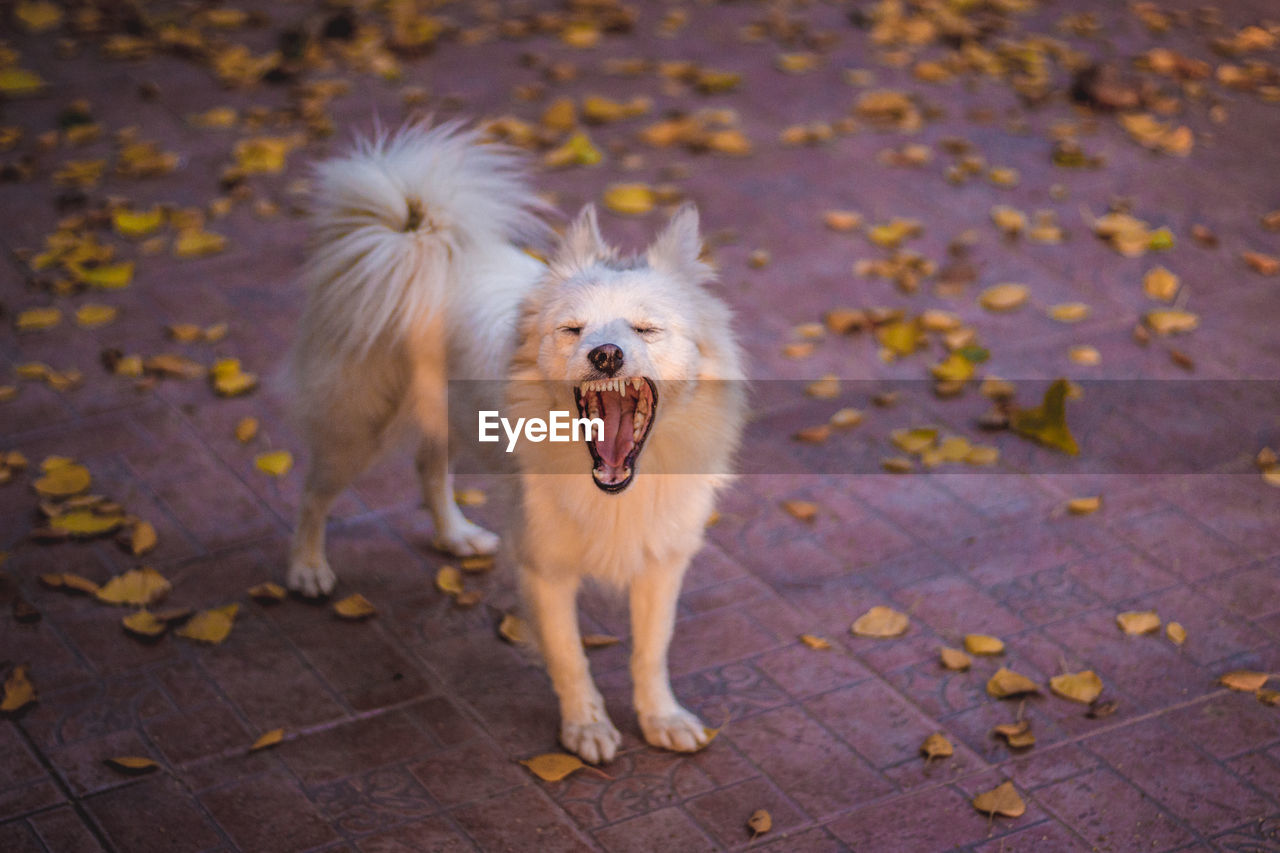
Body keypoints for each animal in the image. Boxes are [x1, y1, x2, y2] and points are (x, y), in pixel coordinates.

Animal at [285, 122, 747, 758]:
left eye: (646, 329)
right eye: (573, 330)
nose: (606, 355)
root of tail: (414, 236)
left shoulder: (661, 563)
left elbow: (651, 652)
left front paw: (661, 718)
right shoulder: (544, 569)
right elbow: (570, 657)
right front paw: (586, 729)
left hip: (447, 417)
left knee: (428, 469)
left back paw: (456, 536)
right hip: (357, 428)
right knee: (314, 494)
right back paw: (307, 570)